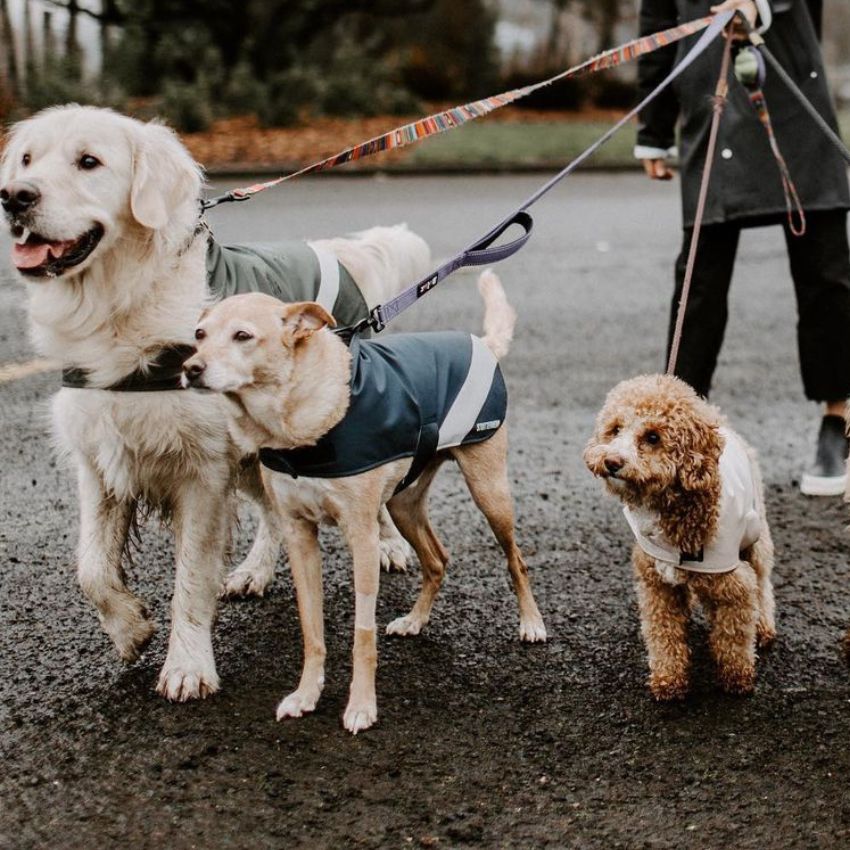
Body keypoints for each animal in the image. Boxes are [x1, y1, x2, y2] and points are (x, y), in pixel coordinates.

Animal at [1, 106, 430, 700]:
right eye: (26, 159)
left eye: (89, 161)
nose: (13, 198)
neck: (122, 305)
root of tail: (333, 250)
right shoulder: (100, 459)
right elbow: (91, 567)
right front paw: (130, 628)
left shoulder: (200, 472)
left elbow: (190, 575)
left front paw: (187, 665)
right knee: (273, 511)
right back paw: (255, 571)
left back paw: (387, 543)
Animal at [182, 270, 548, 728]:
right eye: (199, 334)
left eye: (243, 336)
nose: (190, 369)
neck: (300, 418)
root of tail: (482, 344)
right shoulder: (299, 537)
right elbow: (312, 630)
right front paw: (307, 694)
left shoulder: (363, 539)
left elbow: (362, 635)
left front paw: (361, 706)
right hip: (403, 504)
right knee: (437, 560)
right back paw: (415, 620)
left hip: (490, 493)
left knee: (515, 560)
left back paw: (531, 622)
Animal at [584, 374, 776, 700]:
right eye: (615, 429)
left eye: (652, 438)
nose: (611, 461)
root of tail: (718, 418)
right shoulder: (656, 583)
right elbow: (663, 634)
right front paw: (668, 680)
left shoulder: (735, 584)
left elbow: (734, 637)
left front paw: (737, 679)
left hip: (756, 539)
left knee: (763, 585)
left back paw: (764, 627)